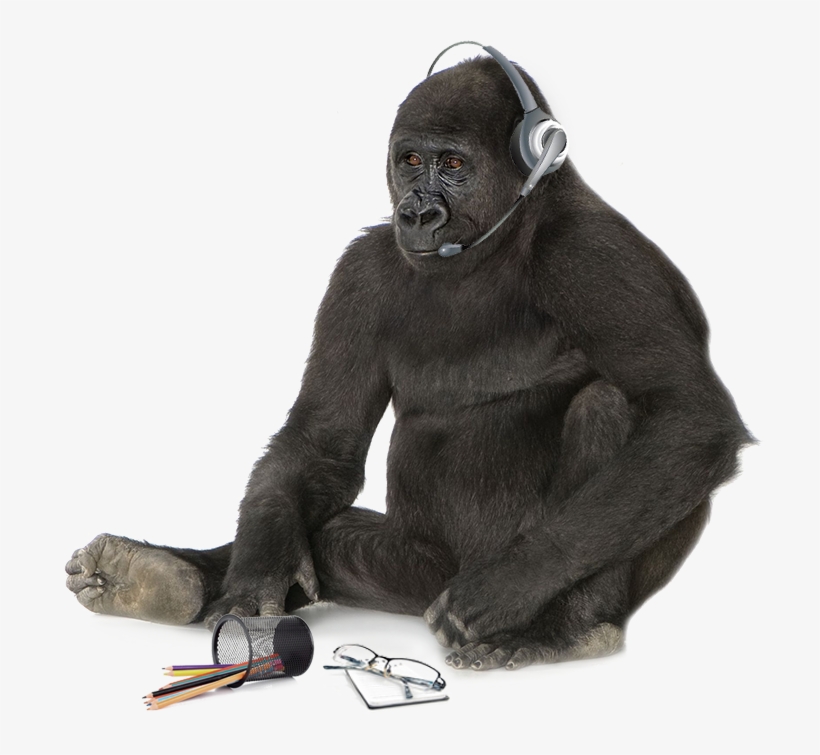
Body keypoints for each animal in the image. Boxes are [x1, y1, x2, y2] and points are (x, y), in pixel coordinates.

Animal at [65, 51, 751, 671]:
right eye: (412, 160)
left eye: (453, 165)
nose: (418, 211)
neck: (497, 237)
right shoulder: (360, 270)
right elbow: (322, 439)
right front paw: (255, 576)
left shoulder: (595, 254)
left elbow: (687, 414)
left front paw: (509, 586)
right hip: (419, 571)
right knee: (333, 541)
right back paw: (158, 578)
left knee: (615, 409)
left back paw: (564, 627)